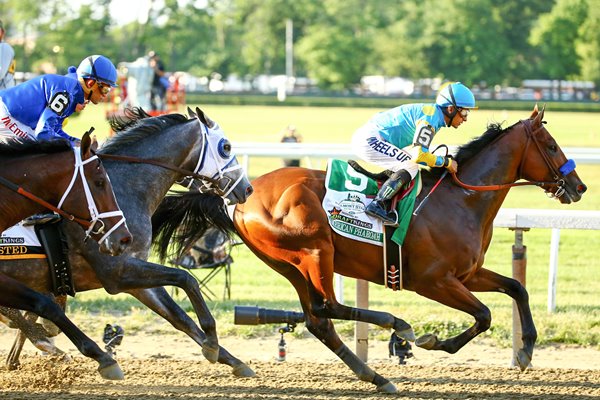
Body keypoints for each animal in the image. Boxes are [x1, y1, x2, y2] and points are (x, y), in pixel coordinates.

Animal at [233, 104, 584, 392]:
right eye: (551, 146)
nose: (579, 187)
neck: (461, 200)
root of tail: (247, 193)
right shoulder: (432, 281)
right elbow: (484, 315)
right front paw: (433, 341)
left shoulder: (467, 274)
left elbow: (516, 288)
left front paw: (526, 350)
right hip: (316, 252)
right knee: (328, 306)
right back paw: (397, 326)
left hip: (289, 265)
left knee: (318, 320)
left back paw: (377, 377)